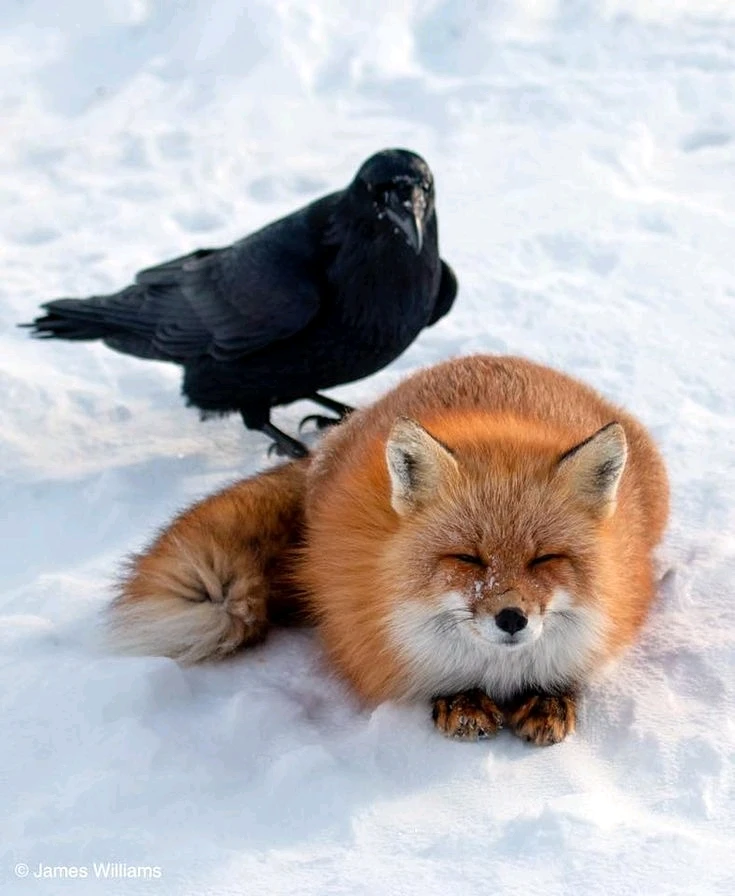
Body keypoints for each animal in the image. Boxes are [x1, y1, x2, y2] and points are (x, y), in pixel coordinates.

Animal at [110, 355, 669, 746]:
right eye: (467, 558)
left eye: (545, 559)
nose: (512, 618)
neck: (498, 672)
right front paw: (460, 700)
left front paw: (551, 696)